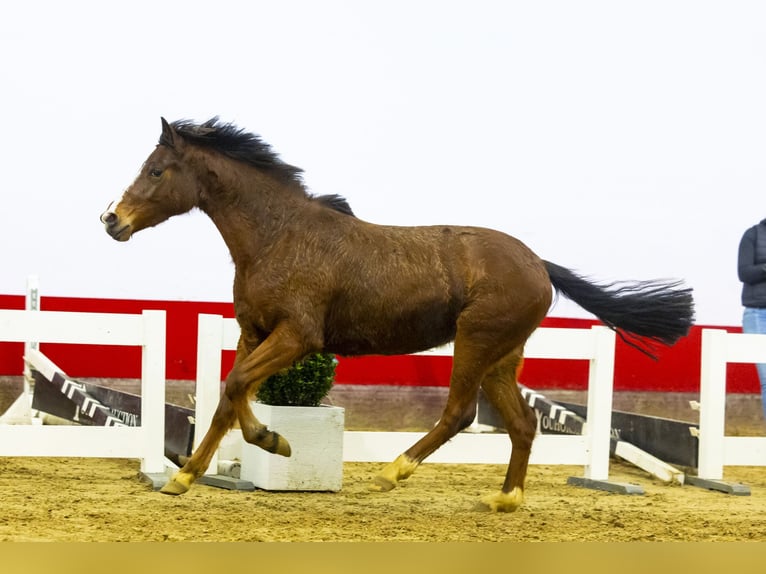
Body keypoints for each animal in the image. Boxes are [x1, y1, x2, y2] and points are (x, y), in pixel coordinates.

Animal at [97, 118, 696, 512]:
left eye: (156, 170)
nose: (111, 220)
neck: (277, 237)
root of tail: (539, 264)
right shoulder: (254, 332)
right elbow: (227, 398)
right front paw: (185, 478)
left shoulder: (297, 336)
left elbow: (237, 386)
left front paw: (274, 441)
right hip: (503, 356)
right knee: (523, 423)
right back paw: (505, 498)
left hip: (476, 341)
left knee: (459, 413)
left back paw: (392, 473)